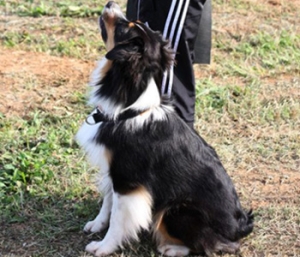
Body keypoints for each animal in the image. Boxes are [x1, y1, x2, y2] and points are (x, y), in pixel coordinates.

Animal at [75, 1, 253, 254]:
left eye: (122, 27)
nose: (110, 4)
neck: (128, 106)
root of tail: (242, 227)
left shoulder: (128, 180)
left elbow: (118, 218)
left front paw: (104, 247)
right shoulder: (113, 170)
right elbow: (107, 201)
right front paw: (97, 224)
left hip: (176, 209)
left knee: (207, 245)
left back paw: (170, 248)